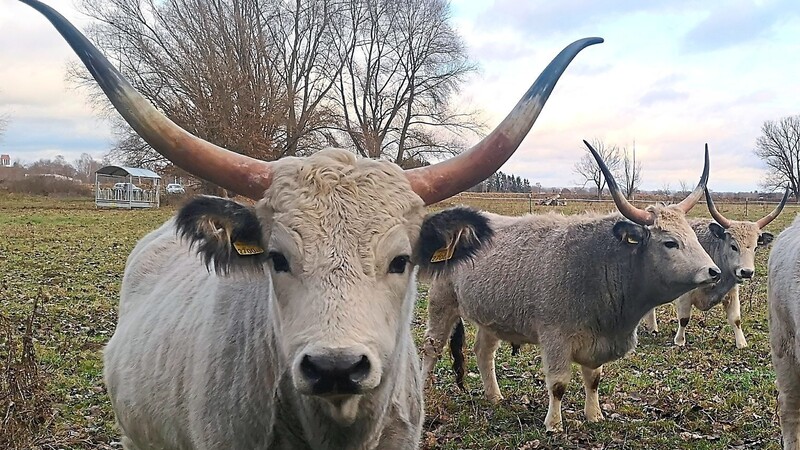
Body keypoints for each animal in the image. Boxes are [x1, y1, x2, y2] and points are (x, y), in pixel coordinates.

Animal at [422, 142, 720, 432]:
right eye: (670, 243)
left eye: (693, 237)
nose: (714, 272)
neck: (601, 262)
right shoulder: (555, 338)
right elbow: (558, 384)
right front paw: (554, 424)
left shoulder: (596, 340)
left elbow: (593, 380)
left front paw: (594, 414)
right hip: (441, 303)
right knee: (431, 348)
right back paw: (424, 391)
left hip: (490, 316)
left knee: (484, 352)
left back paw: (494, 396)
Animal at [636, 186, 788, 348]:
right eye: (733, 246)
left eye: (755, 248)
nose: (747, 272)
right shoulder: (685, 295)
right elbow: (684, 318)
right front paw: (679, 341)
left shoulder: (732, 291)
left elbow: (736, 319)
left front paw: (741, 343)